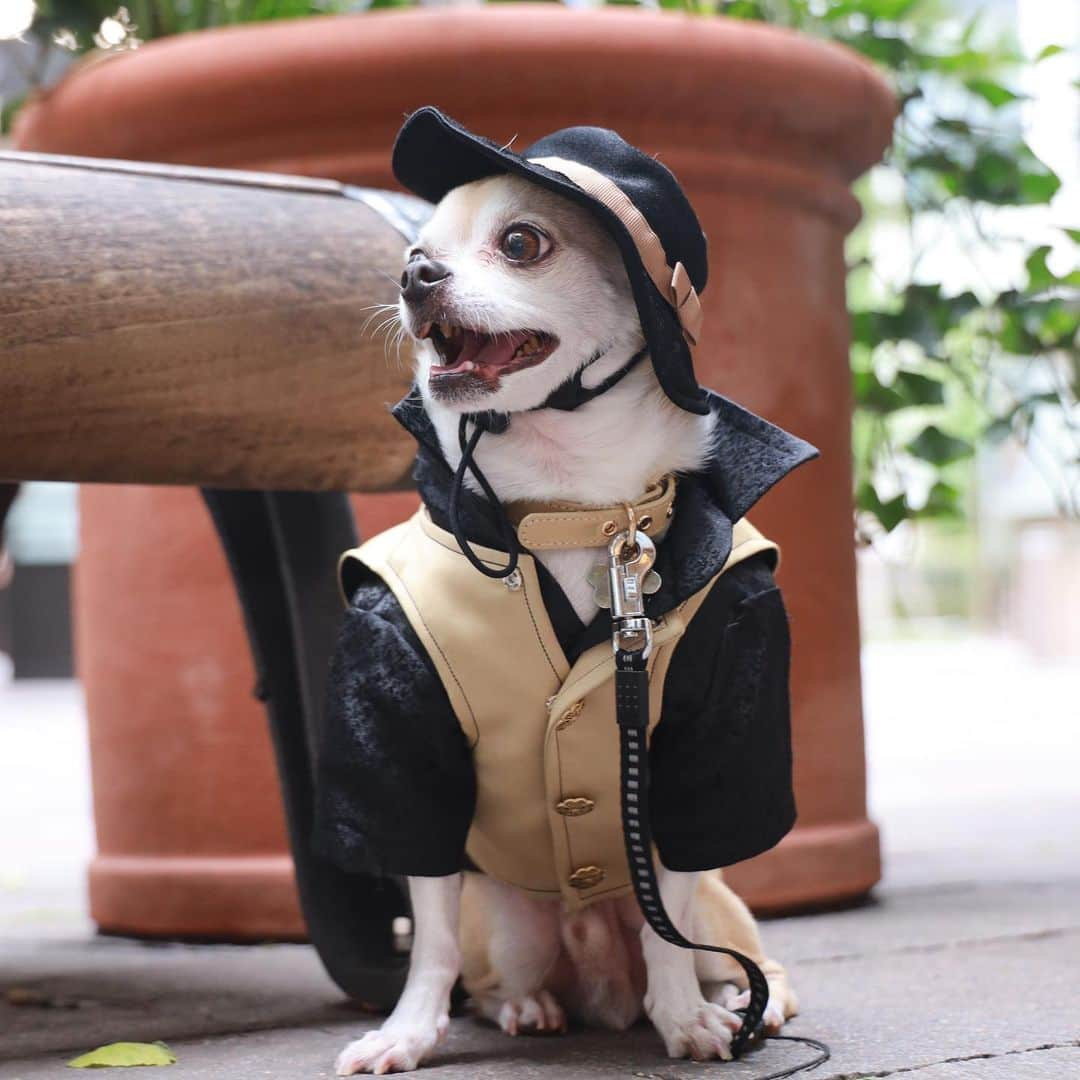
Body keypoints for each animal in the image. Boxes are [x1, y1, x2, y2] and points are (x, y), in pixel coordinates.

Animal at [332, 168, 799, 1071]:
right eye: (414, 252)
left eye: (521, 243)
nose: (413, 277)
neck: (570, 510)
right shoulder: (406, 739)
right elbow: (430, 935)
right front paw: (406, 1033)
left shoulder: (701, 746)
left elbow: (668, 922)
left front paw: (685, 1017)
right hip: (512, 924)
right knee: (492, 972)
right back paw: (530, 1007)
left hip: (722, 907)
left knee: (730, 950)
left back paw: (746, 1000)